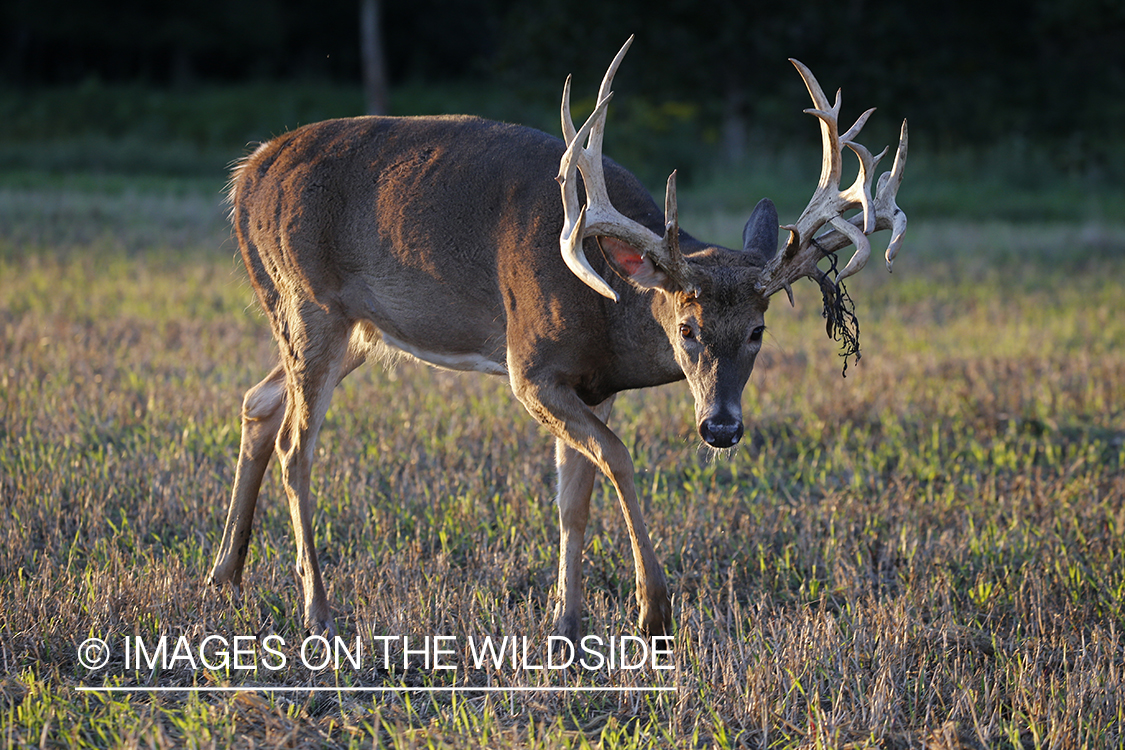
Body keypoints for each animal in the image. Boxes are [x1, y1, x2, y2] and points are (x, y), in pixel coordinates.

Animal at [207, 36, 909, 647]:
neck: (605, 304)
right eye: (686, 328)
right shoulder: (532, 367)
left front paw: (566, 627)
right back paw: (318, 612)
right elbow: (618, 459)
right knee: (298, 446)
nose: (721, 428)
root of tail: (246, 176)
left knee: (257, 401)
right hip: (310, 302)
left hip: (353, 326)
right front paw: (653, 613)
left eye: (759, 331)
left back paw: (225, 576)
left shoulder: (594, 387)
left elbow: (575, 495)